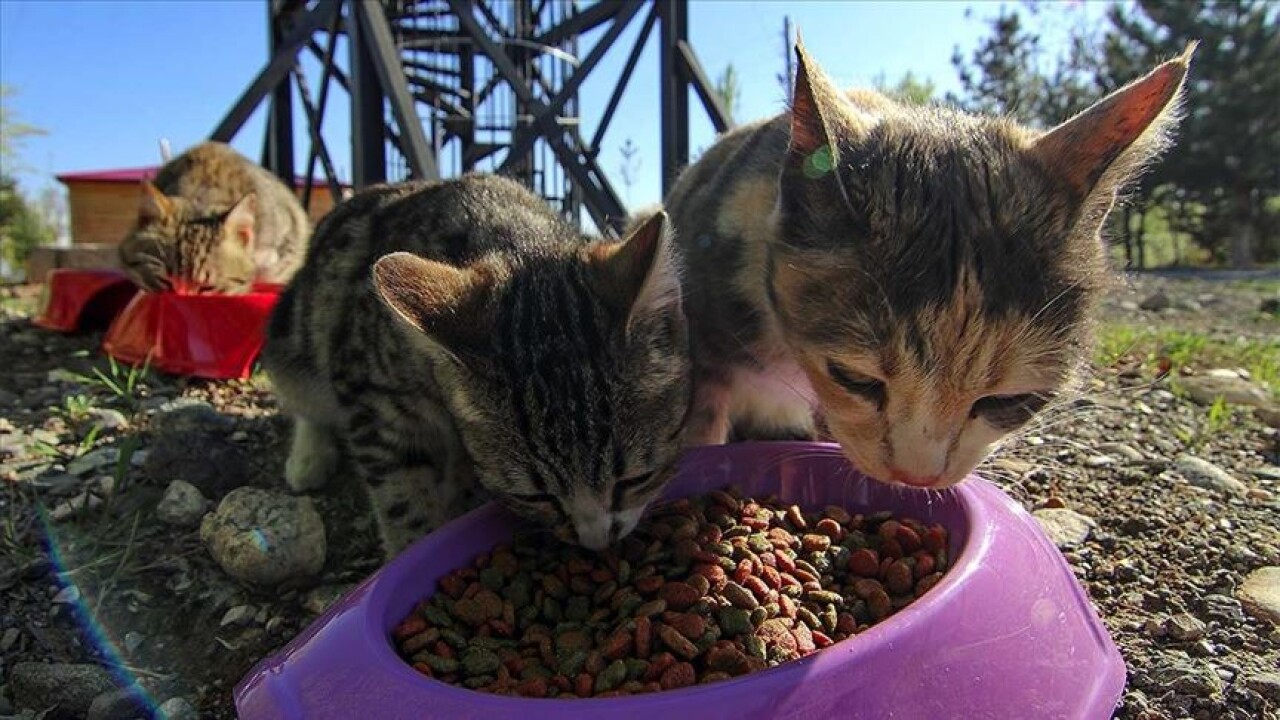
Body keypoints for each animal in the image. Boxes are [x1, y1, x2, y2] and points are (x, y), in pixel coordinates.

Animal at [261, 174, 696, 556]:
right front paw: (414, 547)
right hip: (294, 340)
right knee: (306, 400)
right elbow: (401, 492)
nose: (596, 541)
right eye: (535, 496)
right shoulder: (370, 395)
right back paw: (308, 457)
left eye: (636, 479)